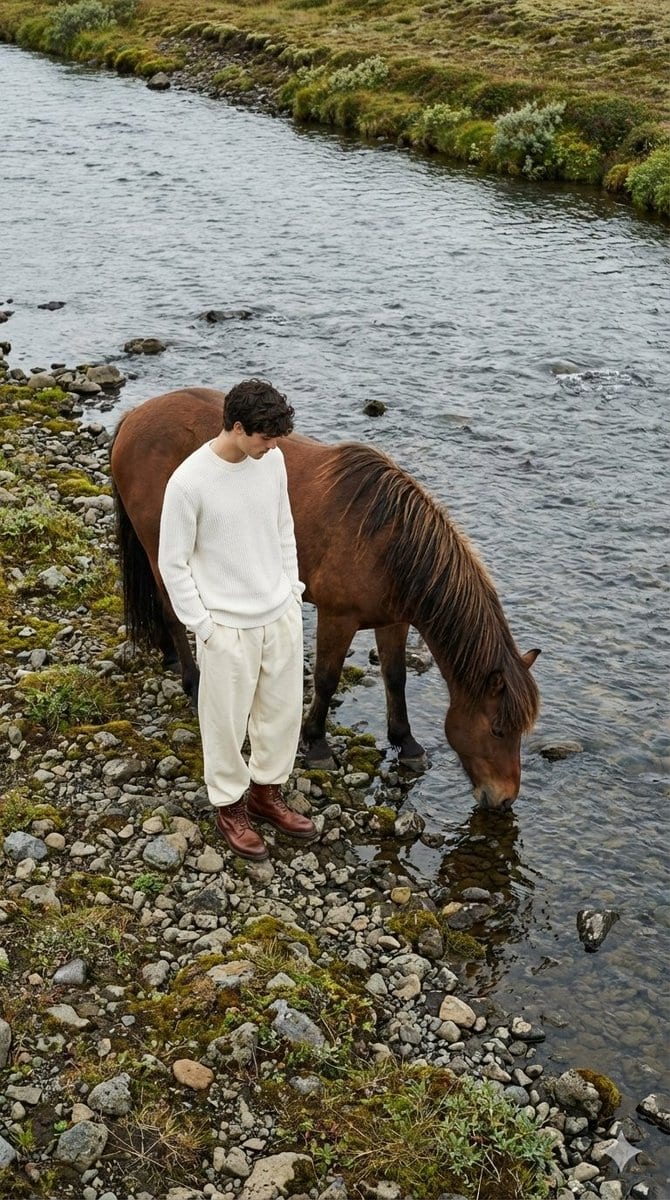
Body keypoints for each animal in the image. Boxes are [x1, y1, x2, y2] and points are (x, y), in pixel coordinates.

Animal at [110, 387, 541, 810]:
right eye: (497, 729)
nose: (503, 800)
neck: (388, 543)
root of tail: (133, 417)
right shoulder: (337, 617)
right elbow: (327, 678)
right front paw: (316, 743)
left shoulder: (394, 620)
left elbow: (395, 677)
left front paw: (406, 742)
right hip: (162, 548)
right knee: (172, 611)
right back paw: (194, 682)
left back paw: (168, 655)